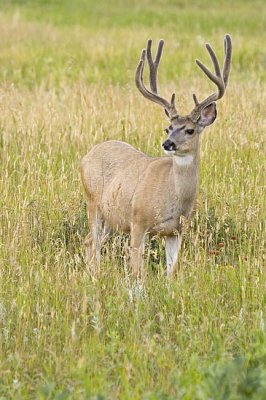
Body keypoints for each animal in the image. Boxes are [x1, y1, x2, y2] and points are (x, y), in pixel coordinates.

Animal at [80, 33, 232, 278]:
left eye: (190, 130)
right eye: (167, 128)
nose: (168, 143)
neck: (173, 197)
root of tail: (87, 155)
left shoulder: (176, 231)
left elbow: (172, 272)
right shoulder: (138, 220)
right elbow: (137, 272)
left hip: (113, 218)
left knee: (89, 242)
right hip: (93, 203)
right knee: (92, 241)